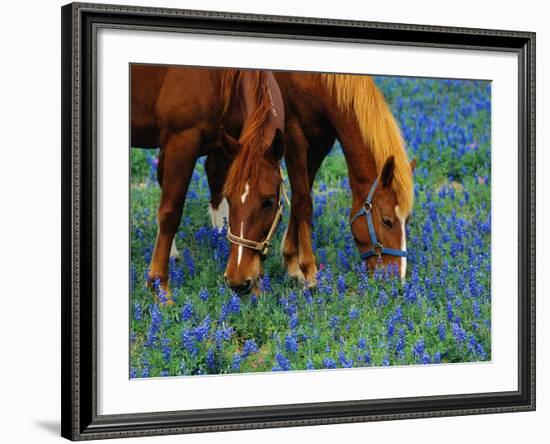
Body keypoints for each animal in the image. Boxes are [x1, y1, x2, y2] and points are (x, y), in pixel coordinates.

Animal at [130, 66, 284, 296]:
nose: (238, 282)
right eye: (231, 198)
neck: (219, 78)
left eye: (269, 202)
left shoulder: (227, 145)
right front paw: (159, 286)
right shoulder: (181, 141)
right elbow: (169, 213)